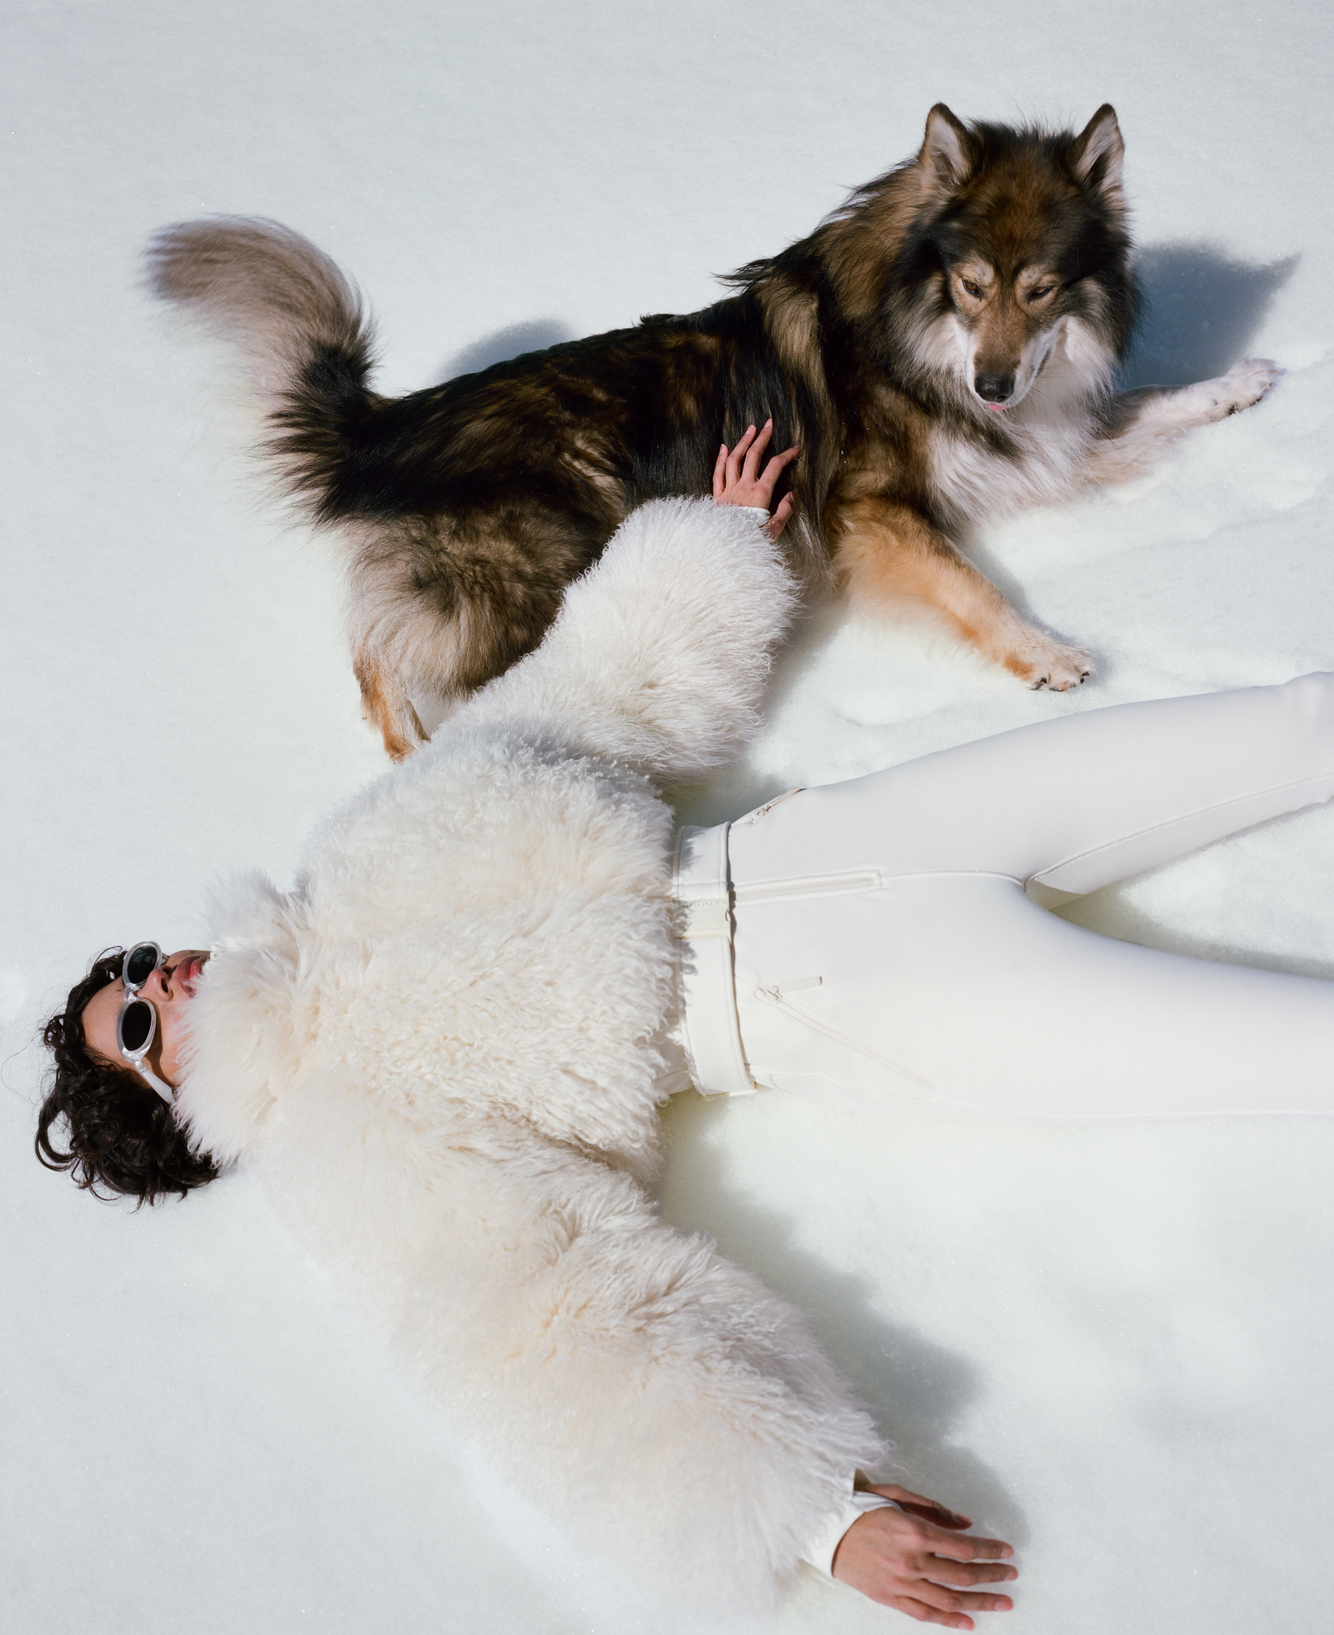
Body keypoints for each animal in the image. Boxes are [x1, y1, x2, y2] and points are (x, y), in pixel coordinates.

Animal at [151, 105, 1275, 755]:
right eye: (970, 284)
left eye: (1039, 289)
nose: (993, 386)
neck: (910, 333)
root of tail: (395, 421)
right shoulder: (872, 511)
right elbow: (973, 588)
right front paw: (1047, 656)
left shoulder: (1041, 439)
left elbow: (1154, 405)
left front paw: (1245, 381)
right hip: (535, 574)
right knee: (409, 658)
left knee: (373, 652)